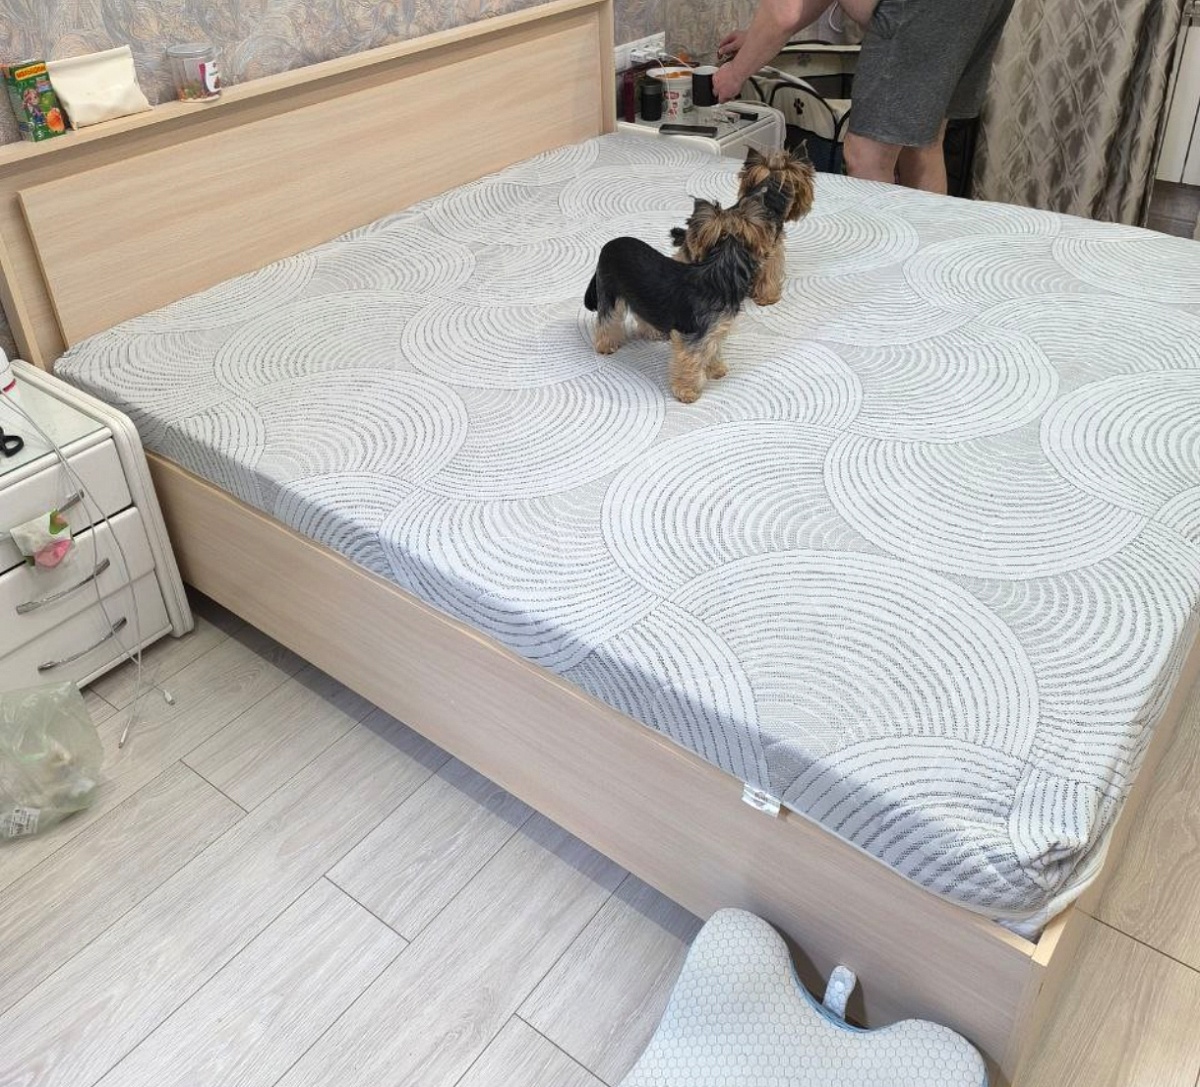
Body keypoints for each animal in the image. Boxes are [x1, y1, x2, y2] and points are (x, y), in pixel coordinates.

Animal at [584, 187, 777, 403]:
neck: (721, 272)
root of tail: (608, 245)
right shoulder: (692, 337)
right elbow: (690, 362)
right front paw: (687, 391)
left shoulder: (714, 331)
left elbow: (713, 349)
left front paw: (715, 369)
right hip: (609, 291)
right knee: (607, 319)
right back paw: (606, 345)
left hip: (640, 295)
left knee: (640, 312)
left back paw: (652, 332)